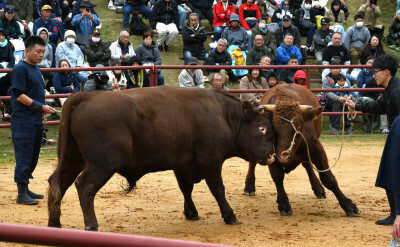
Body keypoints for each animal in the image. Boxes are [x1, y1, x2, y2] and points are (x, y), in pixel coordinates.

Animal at [48, 86, 276, 230]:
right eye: (262, 128)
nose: (272, 155)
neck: (222, 115)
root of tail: (87, 96)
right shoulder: (211, 162)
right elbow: (218, 190)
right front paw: (230, 215)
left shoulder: (182, 164)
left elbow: (186, 189)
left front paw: (191, 212)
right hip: (103, 164)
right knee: (85, 186)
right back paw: (91, 224)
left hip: (72, 160)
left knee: (57, 184)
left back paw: (54, 223)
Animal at [244, 83, 360, 216]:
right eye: (274, 129)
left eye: (298, 128)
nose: (283, 156)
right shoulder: (271, 155)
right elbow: (278, 177)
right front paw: (283, 203)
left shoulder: (317, 149)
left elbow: (328, 178)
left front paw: (348, 205)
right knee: (252, 163)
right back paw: (249, 185)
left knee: (307, 165)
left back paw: (318, 188)